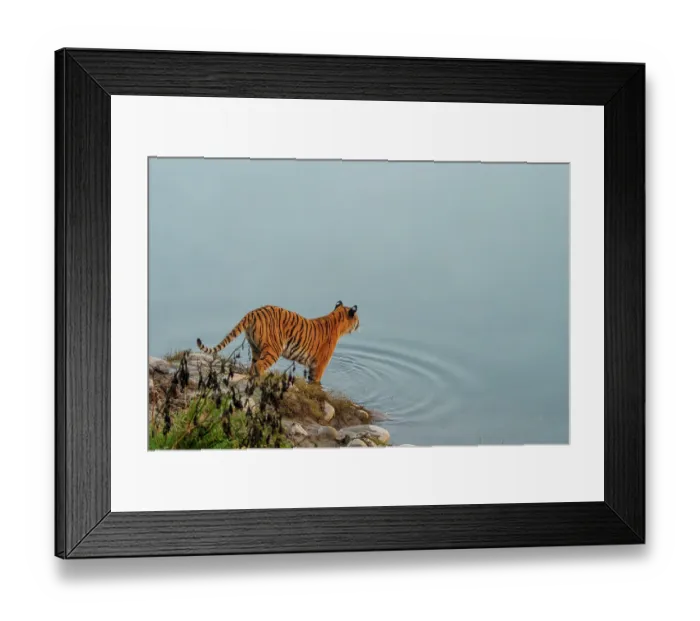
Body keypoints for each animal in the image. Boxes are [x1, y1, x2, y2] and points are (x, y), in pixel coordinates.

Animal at [196, 301, 360, 382]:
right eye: (357, 318)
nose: (359, 324)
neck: (336, 321)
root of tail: (253, 312)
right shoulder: (319, 364)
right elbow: (316, 381)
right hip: (274, 350)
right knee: (260, 366)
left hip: (255, 348)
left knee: (253, 365)